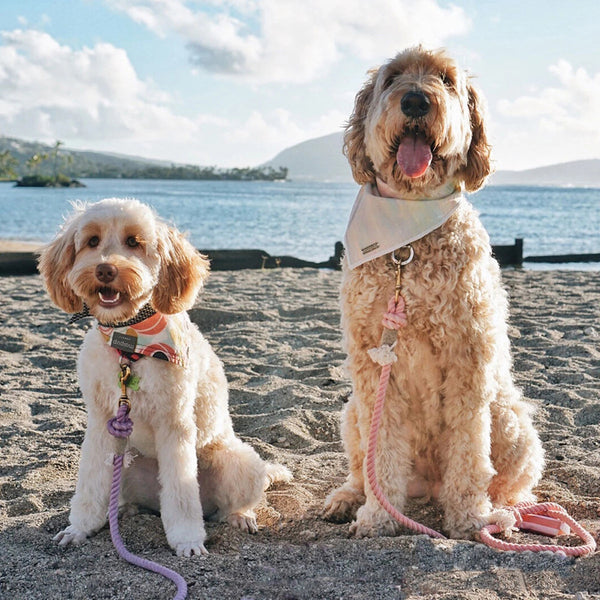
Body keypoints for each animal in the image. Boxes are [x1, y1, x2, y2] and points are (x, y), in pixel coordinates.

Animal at [38, 199, 290, 556]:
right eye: (92, 241)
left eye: (134, 242)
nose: (105, 270)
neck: (130, 341)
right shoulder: (101, 423)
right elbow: (89, 482)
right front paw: (80, 528)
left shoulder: (175, 423)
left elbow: (182, 493)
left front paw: (187, 540)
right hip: (125, 461)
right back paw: (124, 510)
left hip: (239, 463)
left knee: (225, 505)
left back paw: (240, 516)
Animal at [324, 45, 544, 536]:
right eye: (392, 78)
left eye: (446, 80)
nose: (416, 101)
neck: (407, 241)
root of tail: (425, 485)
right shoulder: (373, 364)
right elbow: (381, 454)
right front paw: (378, 516)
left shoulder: (468, 357)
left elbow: (468, 450)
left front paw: (469, 518)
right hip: (352, 414)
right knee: (359, 467)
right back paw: (348, 498)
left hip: (511, 419)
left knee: (510, 482)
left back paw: (503, 513)